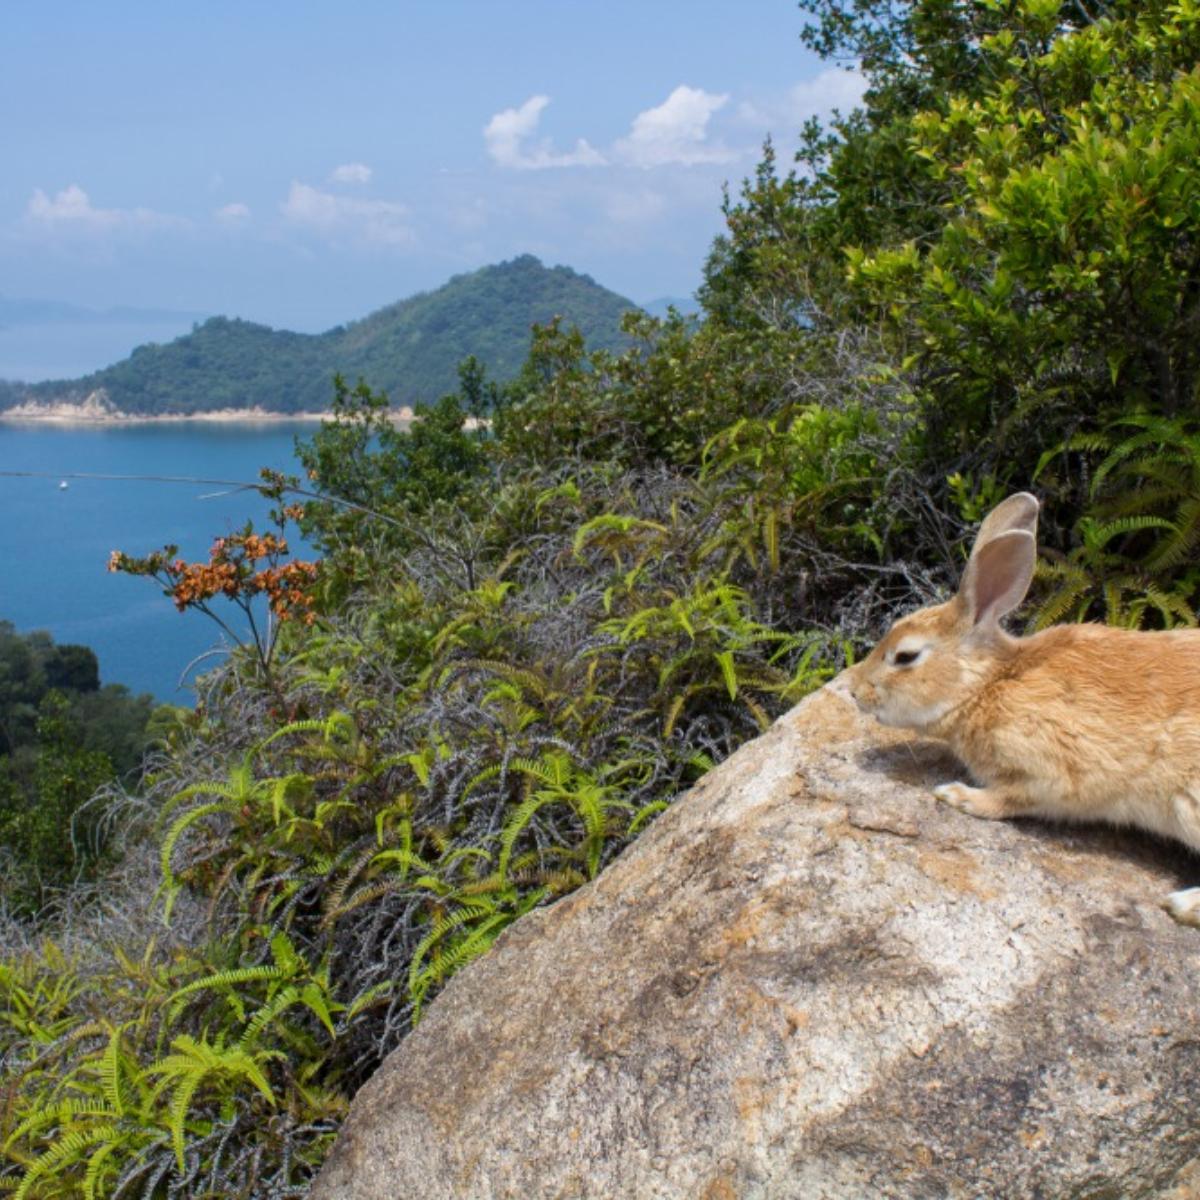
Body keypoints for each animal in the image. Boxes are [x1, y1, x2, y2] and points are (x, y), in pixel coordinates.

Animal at [840, 489, 1200, 926]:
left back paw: (1182, 905)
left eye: (905, 657)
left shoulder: (1049, 769)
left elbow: (1009, 799)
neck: (986, 685)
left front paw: (957, 796)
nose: (854, 691)